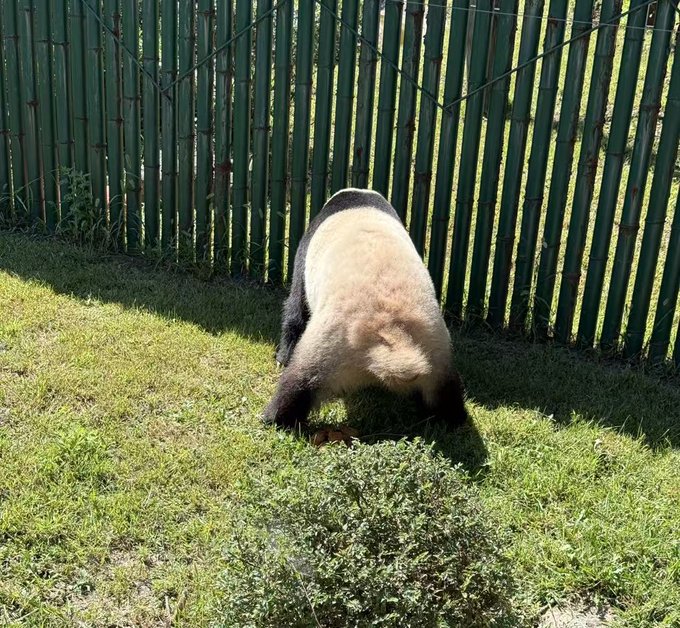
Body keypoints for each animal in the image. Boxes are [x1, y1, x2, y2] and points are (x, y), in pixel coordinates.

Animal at [263, 188, 468, 429]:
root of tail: (390, 333)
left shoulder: (304, 257)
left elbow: (296, 310)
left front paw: (281, 357)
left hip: (329, 345)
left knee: (298, 383)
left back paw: (275, 416)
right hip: (435, 347)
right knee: (447, 393)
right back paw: (452, 418)